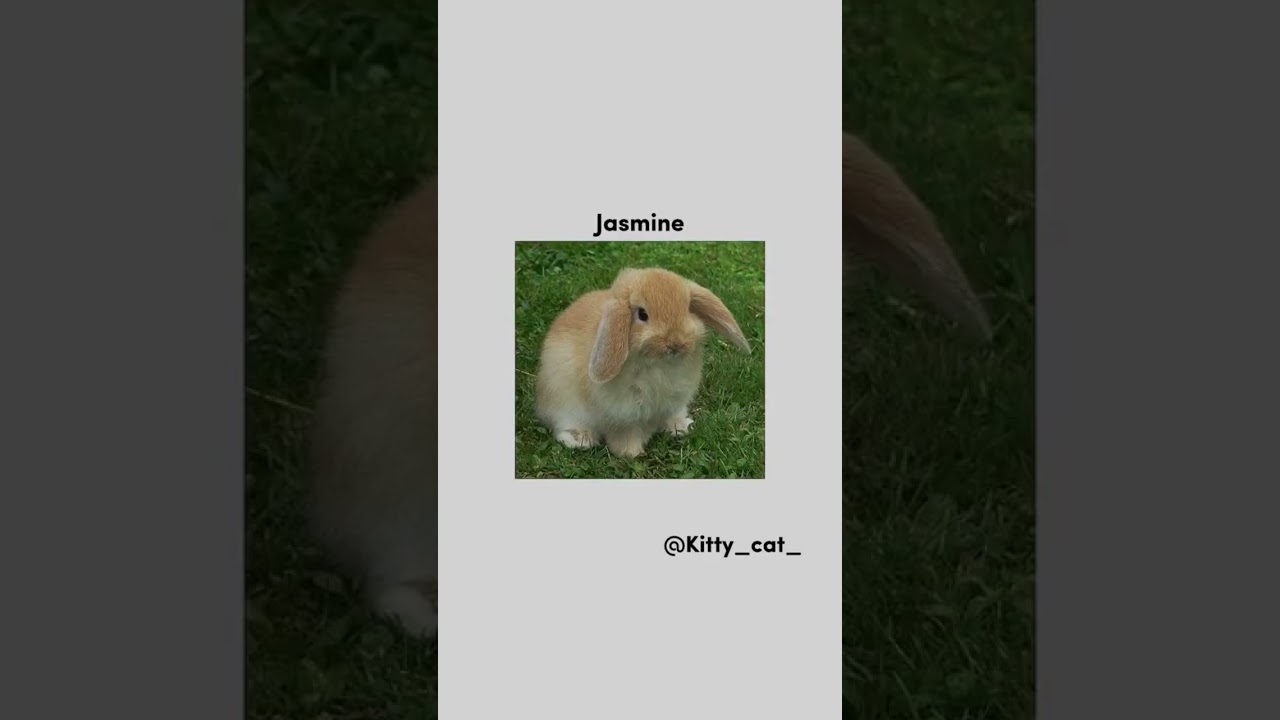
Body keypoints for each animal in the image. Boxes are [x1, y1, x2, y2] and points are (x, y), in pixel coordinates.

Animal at [534, 267, 752, 459]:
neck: (660, 365)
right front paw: (631, 453)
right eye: (642, 314)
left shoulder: (673, 401)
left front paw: (679, 427)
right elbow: (625, 434)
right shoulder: (623, 414)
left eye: (687, 308)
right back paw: (580, 439)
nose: (676, 343)